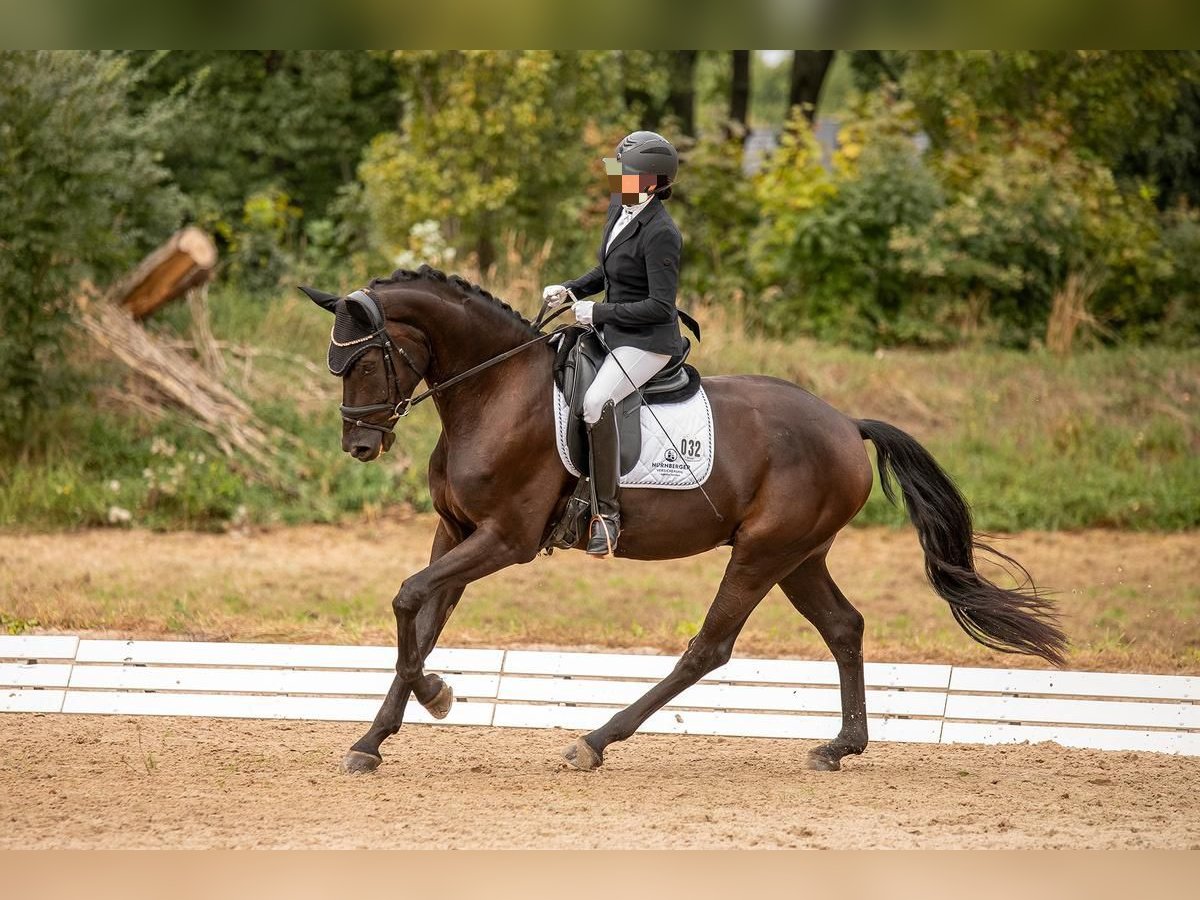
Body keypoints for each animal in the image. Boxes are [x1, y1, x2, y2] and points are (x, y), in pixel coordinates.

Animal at [303, 264, 1067, 775]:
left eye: (363, 361)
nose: (360, 446)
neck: (496, 393)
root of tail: (847, 425)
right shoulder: (457, 532)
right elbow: (423, 616)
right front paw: (375, 738)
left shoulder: (505, 540)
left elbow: (408, 597)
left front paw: (434, 695)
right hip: (800, 555)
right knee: (844, 627)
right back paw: (840, 747)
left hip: (762, 552)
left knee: (711, 647)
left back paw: (594, 742)